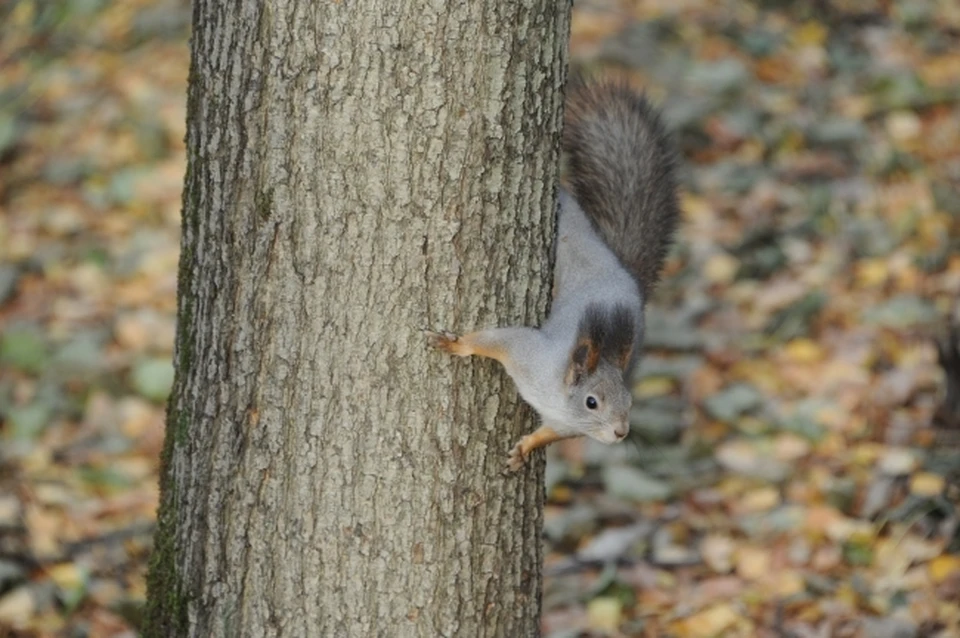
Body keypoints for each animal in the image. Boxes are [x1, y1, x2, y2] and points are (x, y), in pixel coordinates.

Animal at [424, 80, 680, 472]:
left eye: (630, 401)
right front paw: (455, 344)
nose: (621, 432)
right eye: (592, 402)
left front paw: (525, 448)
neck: (560, 399)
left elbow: (548, 434)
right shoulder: (528, 354)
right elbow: (494, 339)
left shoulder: (564, 425)